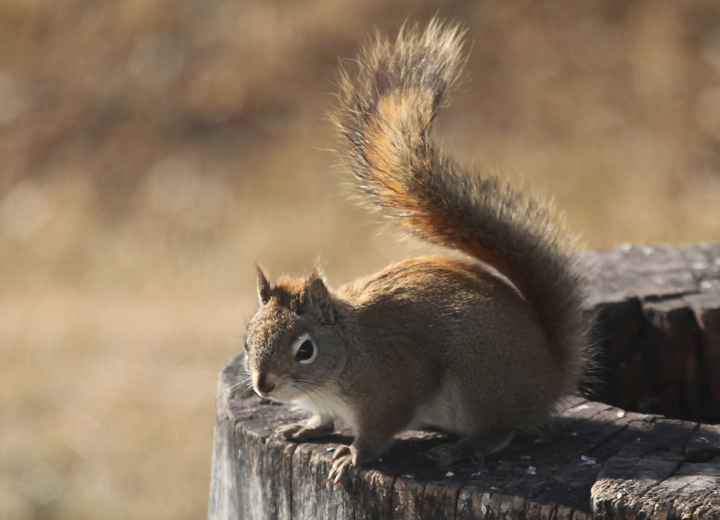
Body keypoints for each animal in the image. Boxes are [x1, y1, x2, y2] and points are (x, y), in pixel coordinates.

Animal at [243, 20, 590, 488]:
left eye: (305, 350)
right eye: (247, 340)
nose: (264, 386)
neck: (348, 354)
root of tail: (550, 378)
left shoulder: (387, 394)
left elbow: (377, 434)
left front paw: (352, 456)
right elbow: (322, 420)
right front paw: (305, 428)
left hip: (480, 383)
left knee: (499, 433)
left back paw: (460, 449)